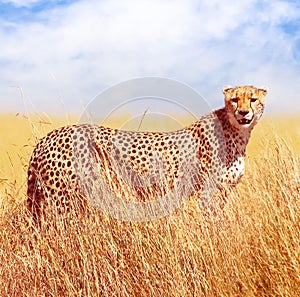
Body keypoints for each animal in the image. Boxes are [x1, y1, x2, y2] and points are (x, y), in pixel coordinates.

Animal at [27, 85, 268, 220]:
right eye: (234, 99)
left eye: (253, 99)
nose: (243, 112)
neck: (236, 132)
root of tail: (50, 135)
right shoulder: (205, 192)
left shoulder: (223, 191)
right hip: (63, 199)